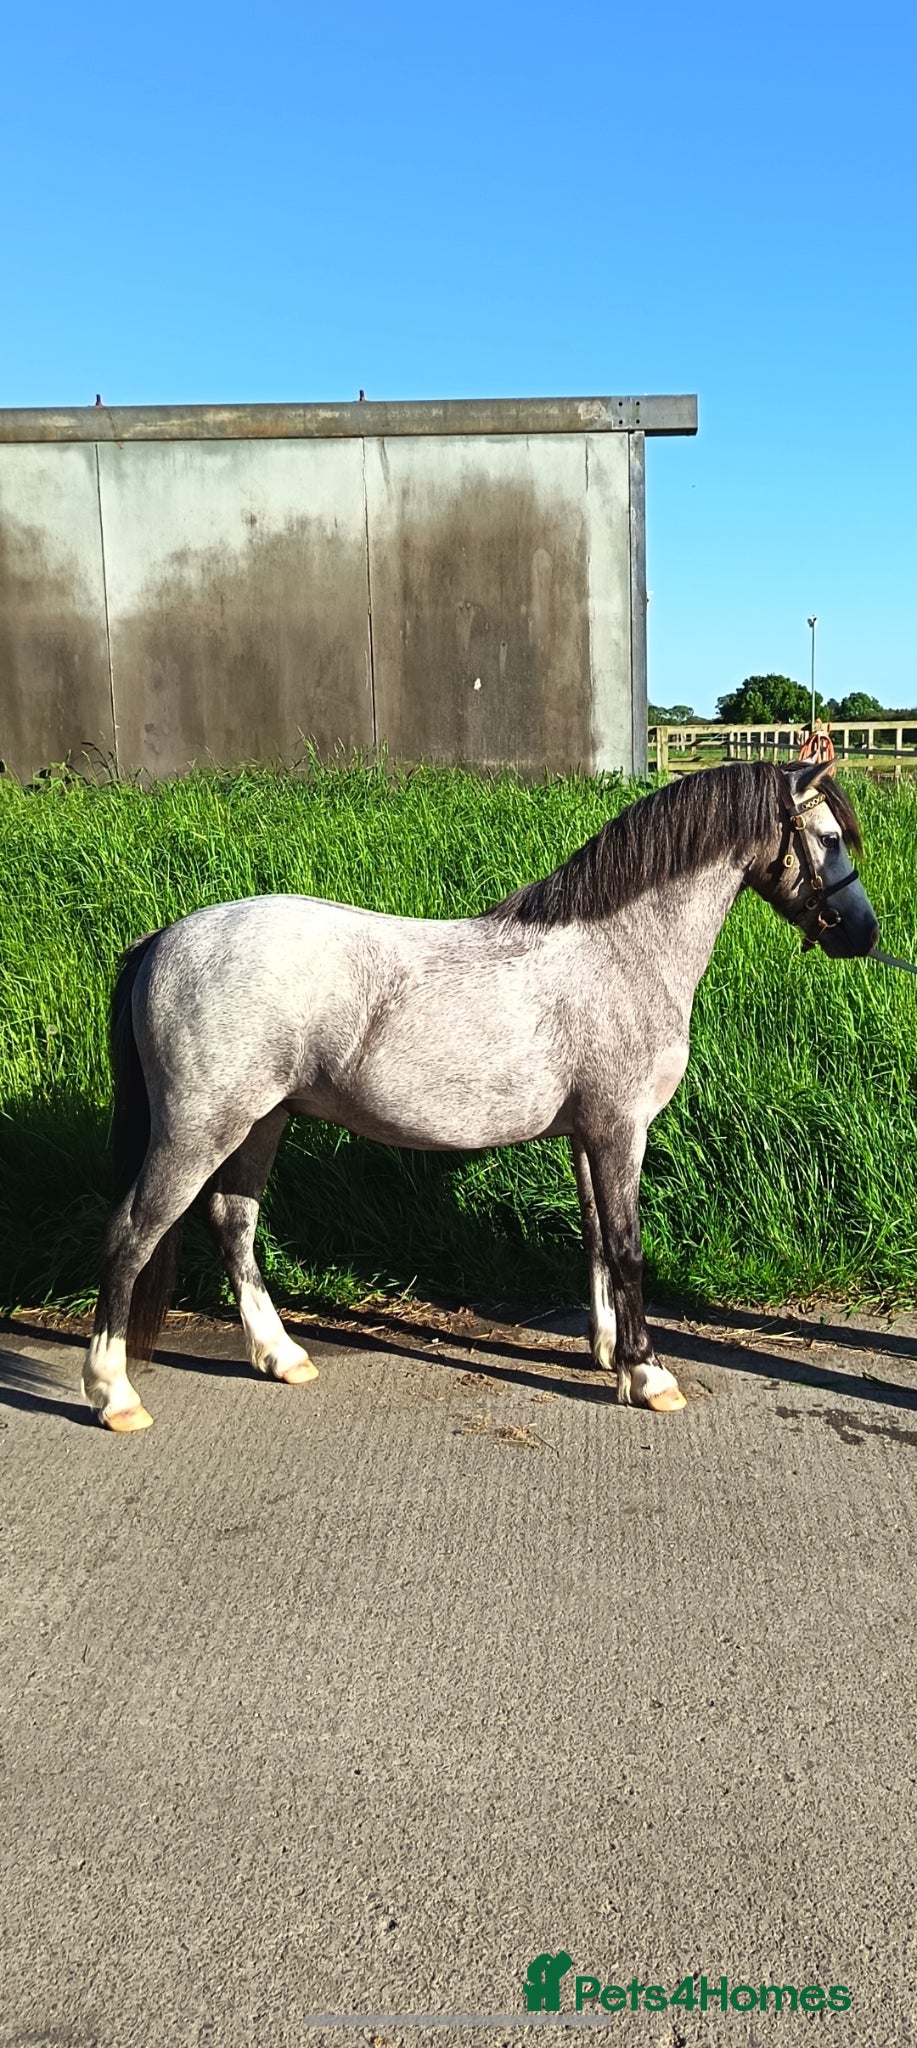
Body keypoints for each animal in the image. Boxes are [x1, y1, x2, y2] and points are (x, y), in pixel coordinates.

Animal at [81, 760, 877, 1432]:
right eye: (829, 837)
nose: (864, 935)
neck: (620, 952)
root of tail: (162, 941)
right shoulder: (620, 1129)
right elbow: (625, 1247)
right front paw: (647, 1375)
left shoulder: (587, 1136)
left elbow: (594, 1238)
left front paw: (605, 1352)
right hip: (199, 1128)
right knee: (131, 1233)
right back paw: (114, 1394)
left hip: (259, 1123)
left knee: (233, 1224)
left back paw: (282, 1357)